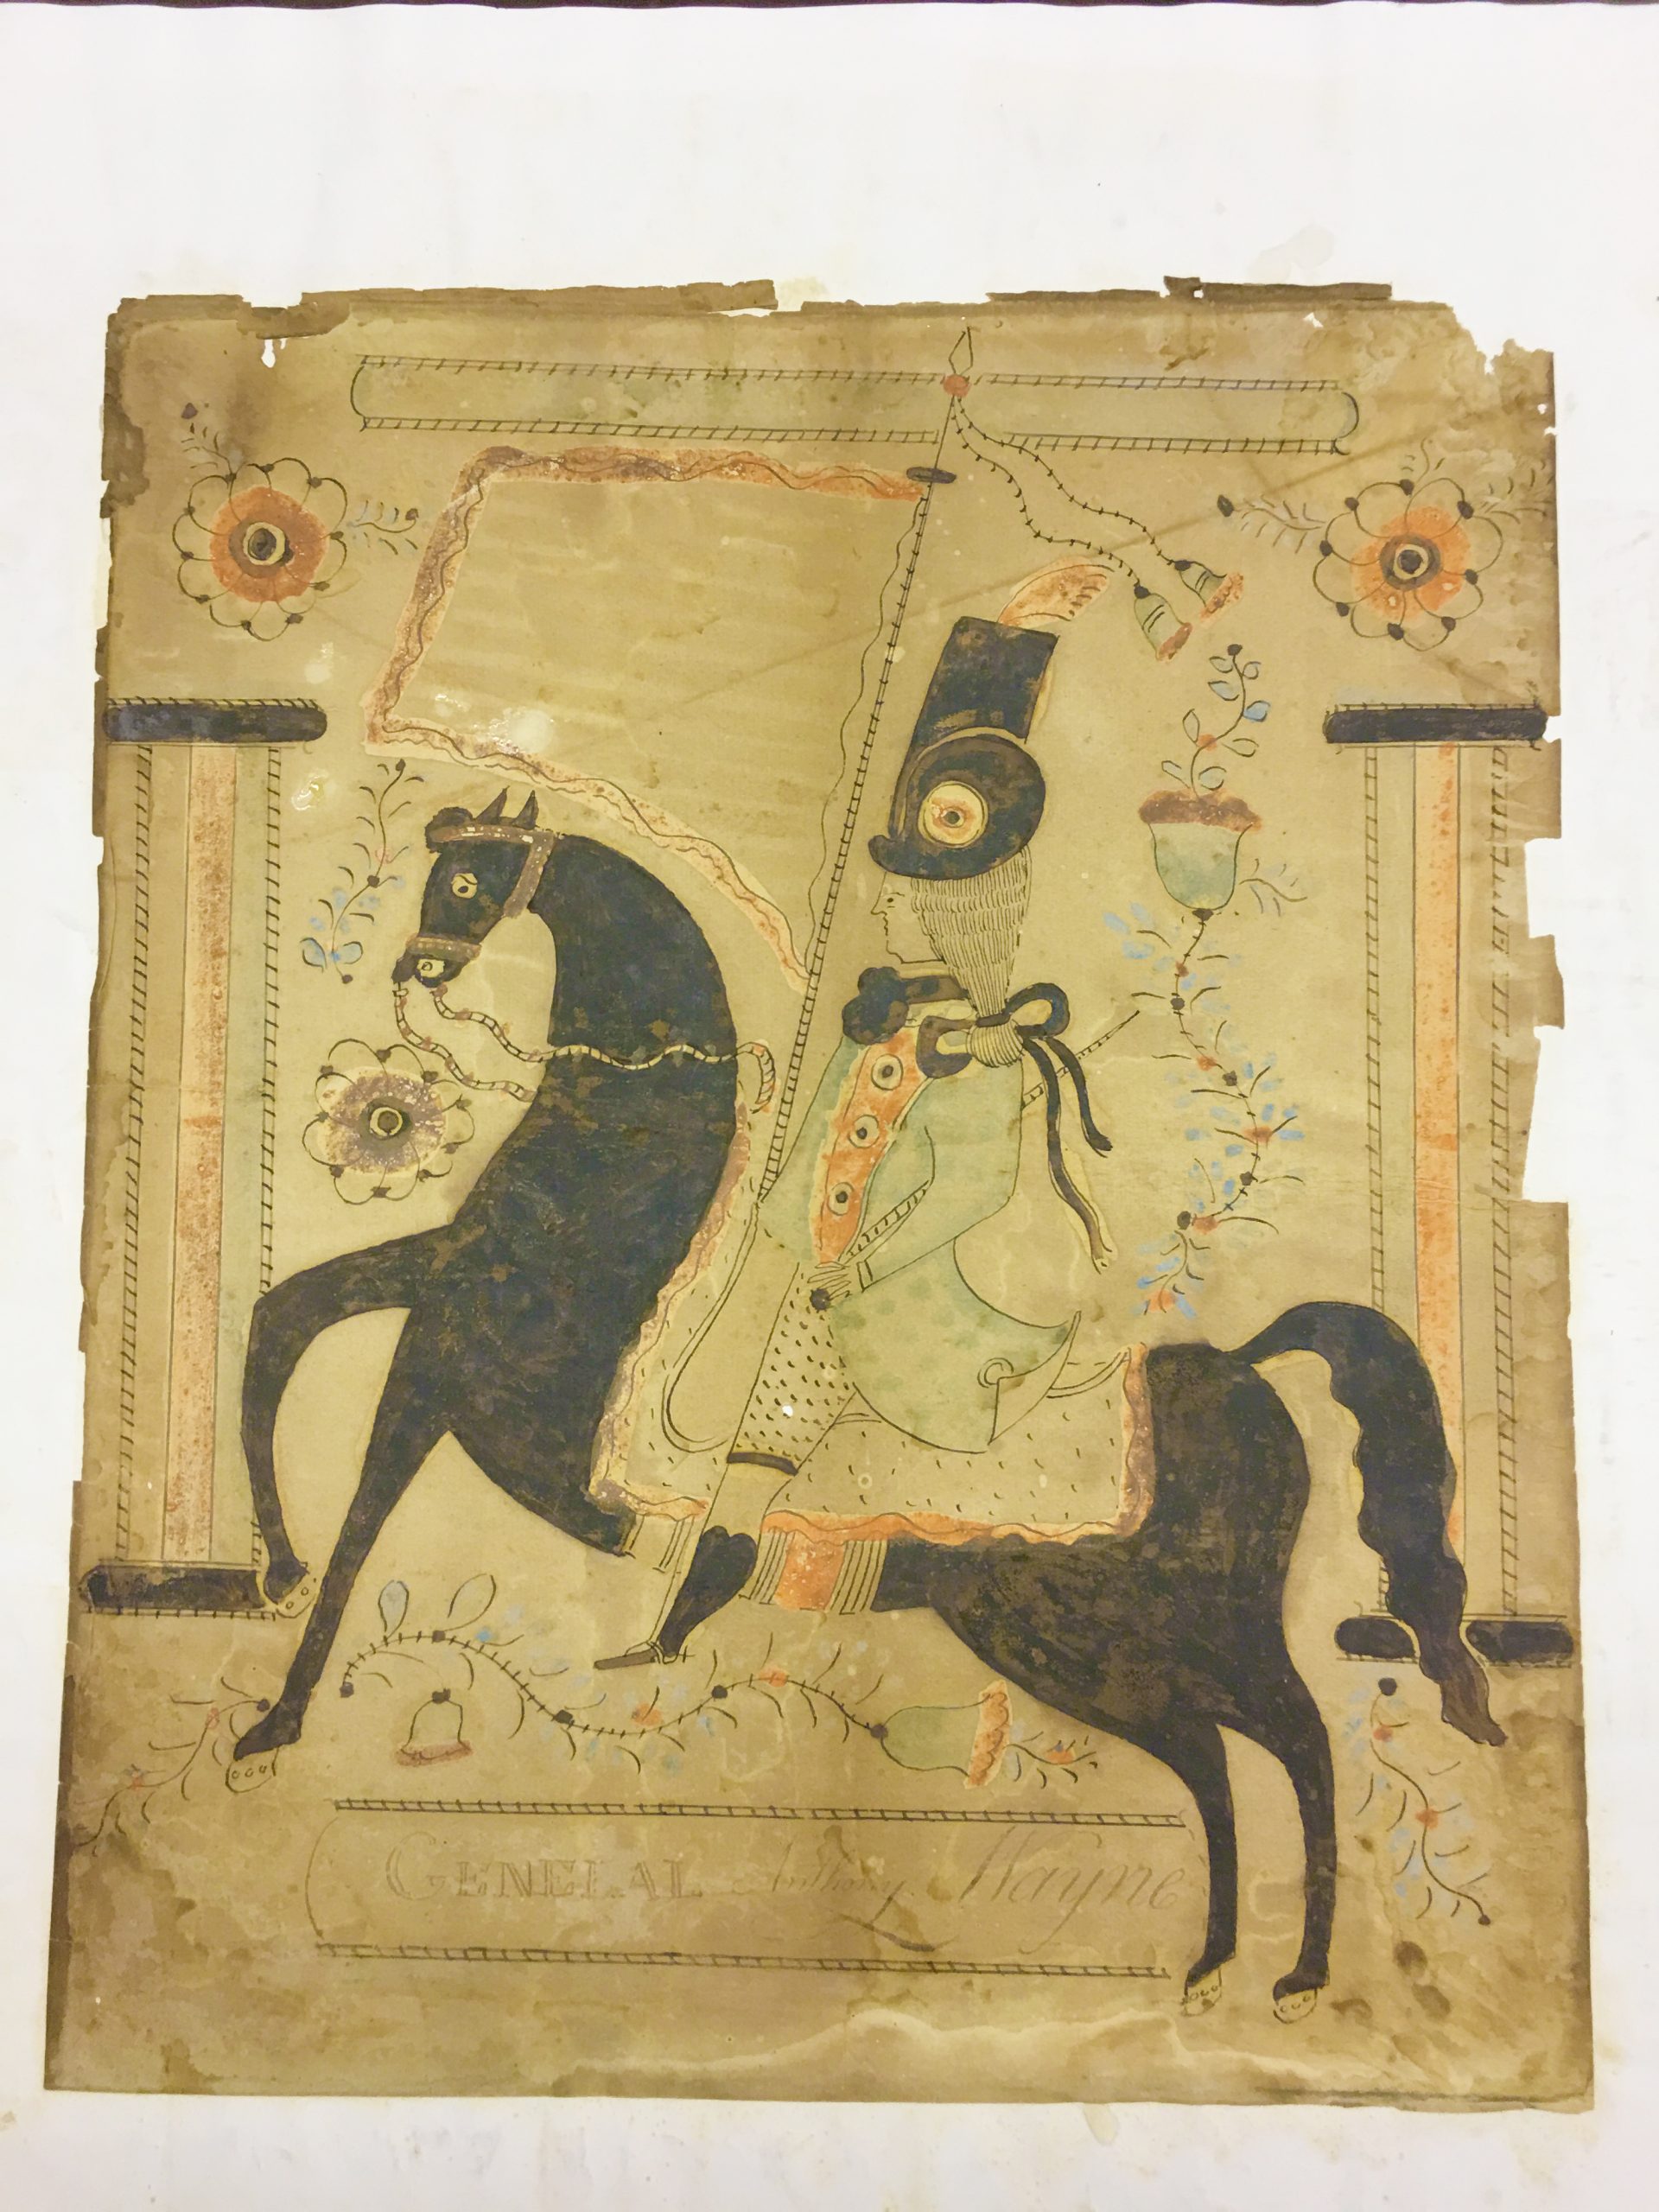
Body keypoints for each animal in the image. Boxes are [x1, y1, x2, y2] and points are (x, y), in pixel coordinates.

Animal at [231, 788, 1505, 2020]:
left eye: (462, 879)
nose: (418, 968)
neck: (620, 1165)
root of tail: (1239, 1366)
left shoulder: (447, 1347)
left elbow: (350, 1495)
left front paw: (273, 1705)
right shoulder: (441, 1306)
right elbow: (285, 1316)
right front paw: (271, 1586)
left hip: (1190, 1624)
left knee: (1298, 1738)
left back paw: (1300, 1975)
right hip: (1065, 1640)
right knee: (1207, 1756)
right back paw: (1213, 1965)